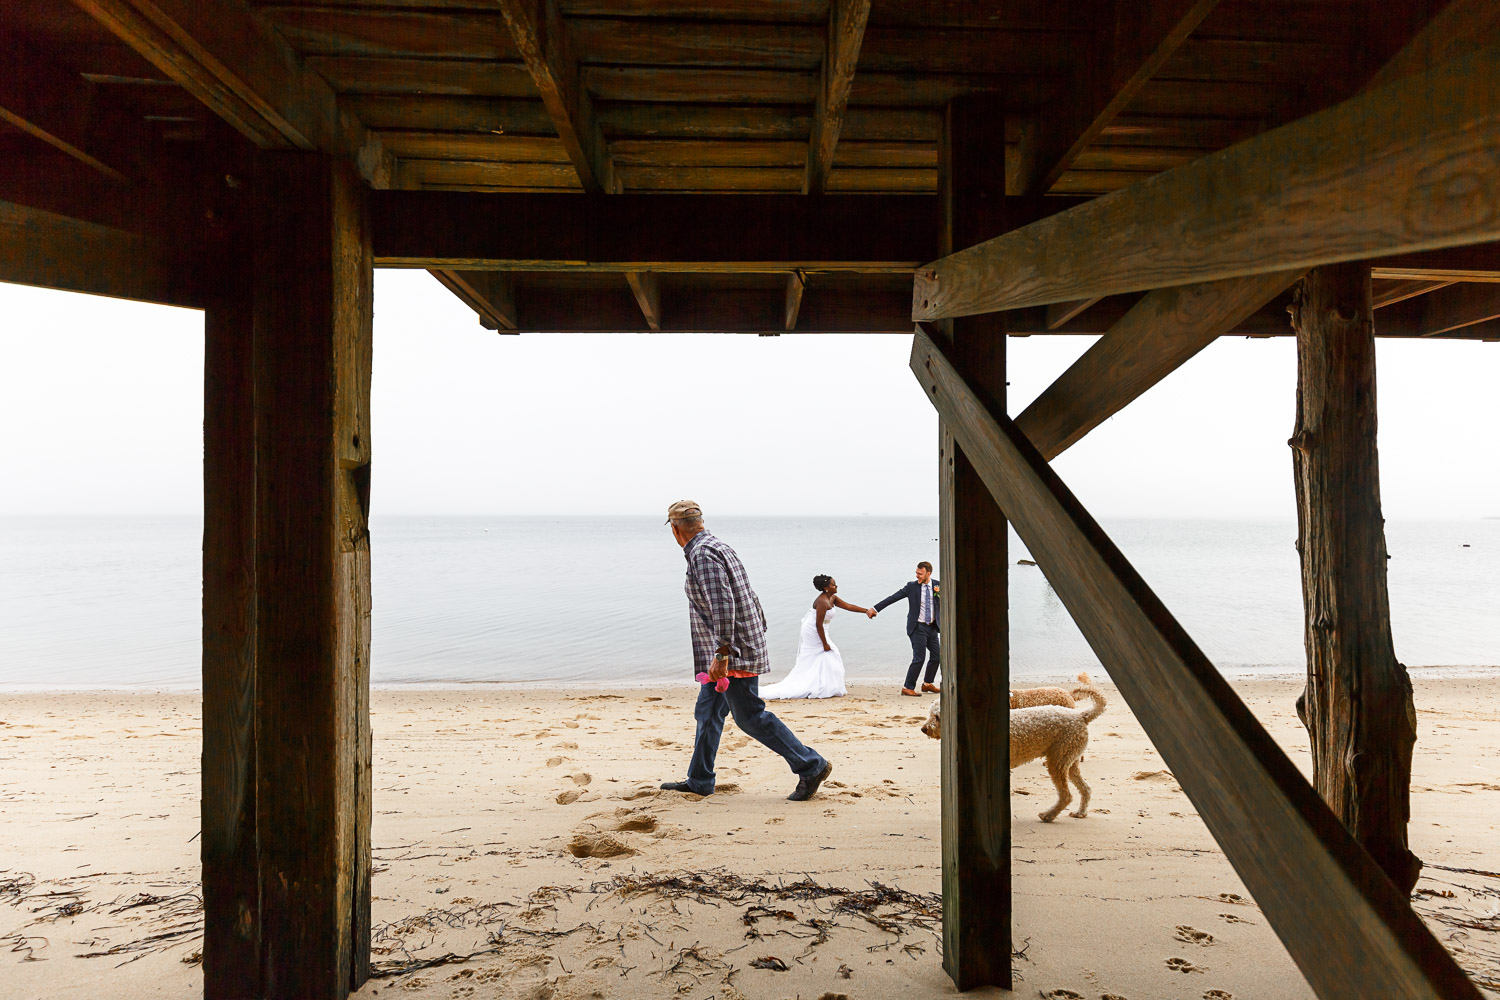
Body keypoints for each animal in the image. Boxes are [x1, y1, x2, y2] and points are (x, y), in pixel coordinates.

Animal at [918, 689, 1110, 821]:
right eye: (930, 714)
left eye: (938, 717)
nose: (923, 729)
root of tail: (1080, 715)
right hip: (1069, 760)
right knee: (1086, 788)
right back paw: (1081, 812)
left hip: (1058, 762)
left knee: (1066, 795)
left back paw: (1048, 815)